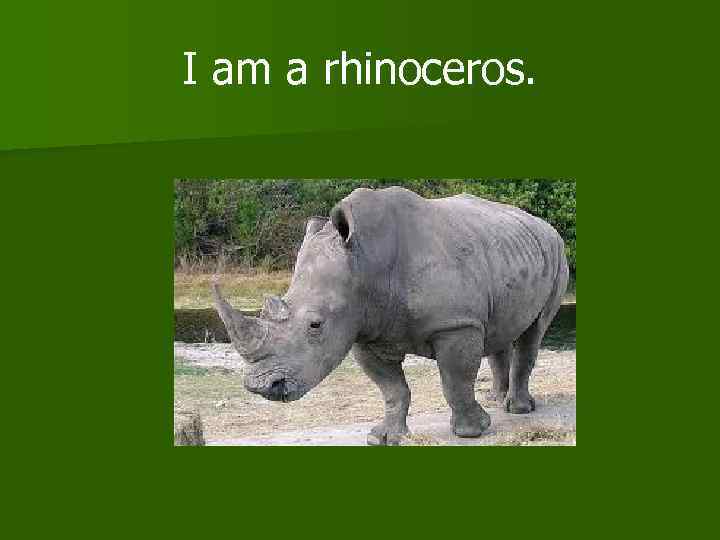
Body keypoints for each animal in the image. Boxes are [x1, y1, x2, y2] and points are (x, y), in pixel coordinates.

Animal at [213, 187, 569, 445]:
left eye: (315, 325)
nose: (261, 387)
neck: (365, 260)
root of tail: (542, 224)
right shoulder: (363, 329)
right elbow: (392, 389)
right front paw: (384, 437)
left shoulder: (455, 324)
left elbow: (455, 380)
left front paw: (472, 431)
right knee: (500, 330)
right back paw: (496, 400)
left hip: (556, 252)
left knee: (533, 332)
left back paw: (517, 409)